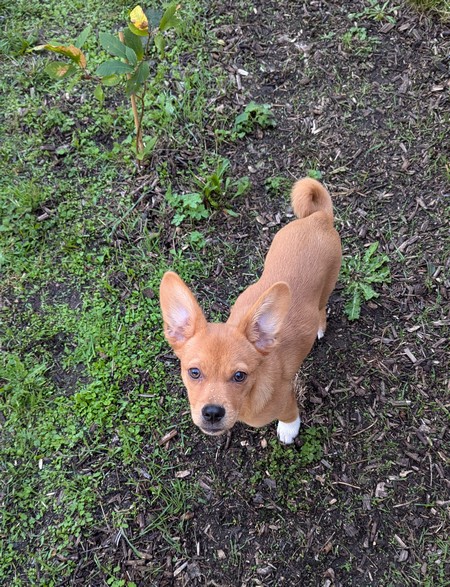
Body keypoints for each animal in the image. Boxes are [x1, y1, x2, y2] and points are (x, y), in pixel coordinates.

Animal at [159, 178, 341, 443]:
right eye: (194, 372)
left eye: (239, 376)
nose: (212, 413)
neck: (249, 398)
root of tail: (319, 217)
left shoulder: (286, 397)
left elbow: (290, 414)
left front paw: (289, 429)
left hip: (329, 282)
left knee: (322, 306)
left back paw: (319, 326)